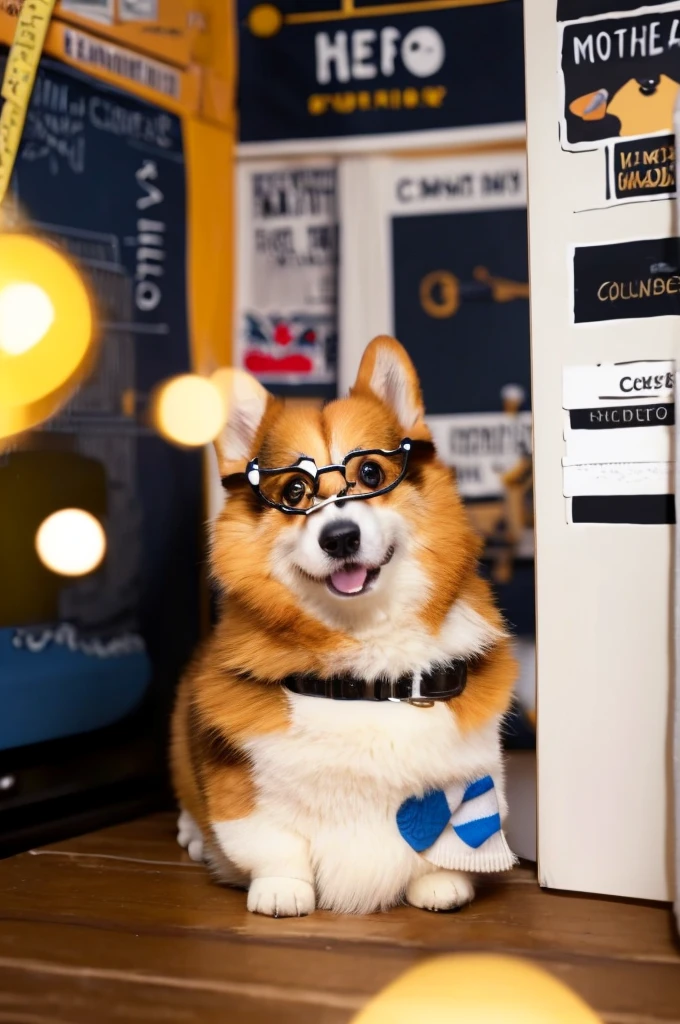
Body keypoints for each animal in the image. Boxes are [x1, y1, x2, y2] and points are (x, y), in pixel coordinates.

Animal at [170, 337, 516, 921]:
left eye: (372, 474)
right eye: (293, 492)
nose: (339, 538)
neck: (366, 658)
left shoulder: (471, 769)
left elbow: (444, 844)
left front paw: (440, 882)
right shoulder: (245, 792)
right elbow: (271, 842)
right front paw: (281, 890)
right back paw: (194, 838)